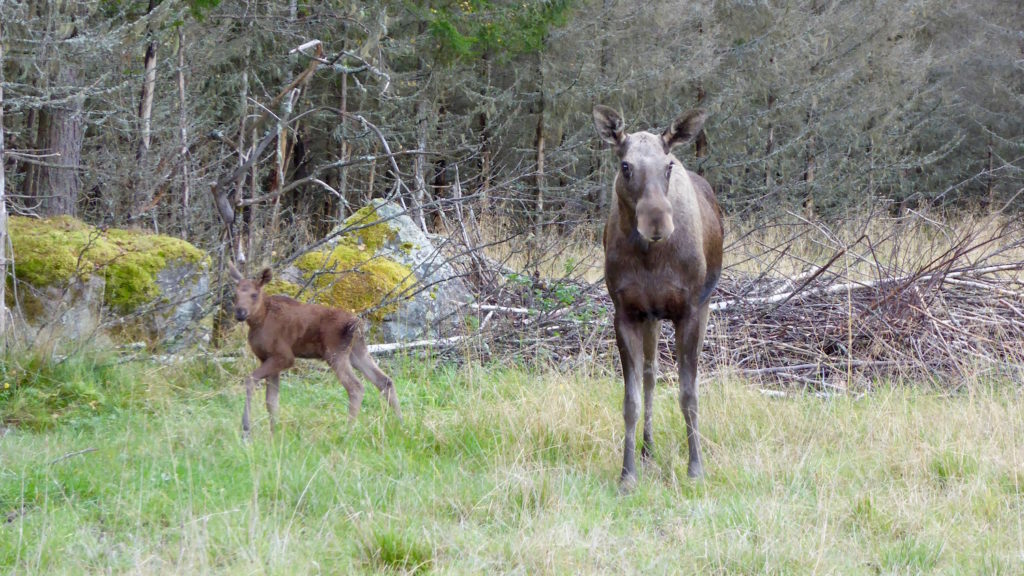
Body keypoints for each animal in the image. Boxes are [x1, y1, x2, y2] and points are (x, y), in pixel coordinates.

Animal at [228, 262, 399, 432]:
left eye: (254, 295)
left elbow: (250, 380)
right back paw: (400, 423)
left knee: (356, 387)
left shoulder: (284, 356)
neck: (259, 321)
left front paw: (246, 428)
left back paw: (348, 430)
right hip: (357, 352)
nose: (240, 312)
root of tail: (357, 324)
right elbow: (272, 402)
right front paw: (273, 433)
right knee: (384, 381)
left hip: (335, 354)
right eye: (235, 295)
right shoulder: (266, 358)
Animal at [589, 104, 724, 487]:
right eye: (625, 165)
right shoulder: (626, 312)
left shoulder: (689, 311)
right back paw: (647, 448)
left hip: (699, 306)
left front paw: (696, 468)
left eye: (668, 165)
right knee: (651, 376)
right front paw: (627, 475)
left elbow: (689, 394)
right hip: (651, 317)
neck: (651, 259)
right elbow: (631, 400)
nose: (657, 223)